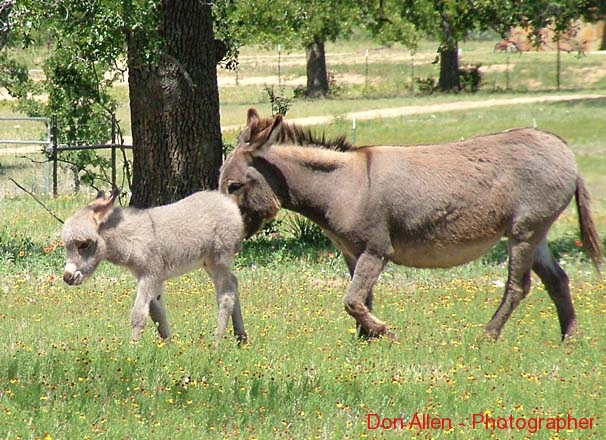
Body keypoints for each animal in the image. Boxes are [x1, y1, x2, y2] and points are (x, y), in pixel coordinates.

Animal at [62, 189, 247, 348]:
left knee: (226, 296)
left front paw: (132, 353)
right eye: (67, 245)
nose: (67, 277)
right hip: (209, 263)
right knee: (234, 283)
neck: (132, 238)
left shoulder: (149, 275)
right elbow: (157, 314)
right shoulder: (155, 278)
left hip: (219, 260)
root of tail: (228, 203)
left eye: (84, 244)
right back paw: (241, 339)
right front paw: (169, 348)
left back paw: (216, 345)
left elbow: (138, 315)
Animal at [219, 108, 603, 342]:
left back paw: (487, 336)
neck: (342, 186)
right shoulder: (351, 253)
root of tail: (563, 148)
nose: (226, 237)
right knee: (557, 279)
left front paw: (384, 333)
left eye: (233, 186)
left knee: (518, 286)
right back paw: (569, 338)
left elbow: (352, 299)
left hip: (524, 231)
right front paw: (364, 341)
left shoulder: (376, 249)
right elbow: (363, 297)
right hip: (537, 232)